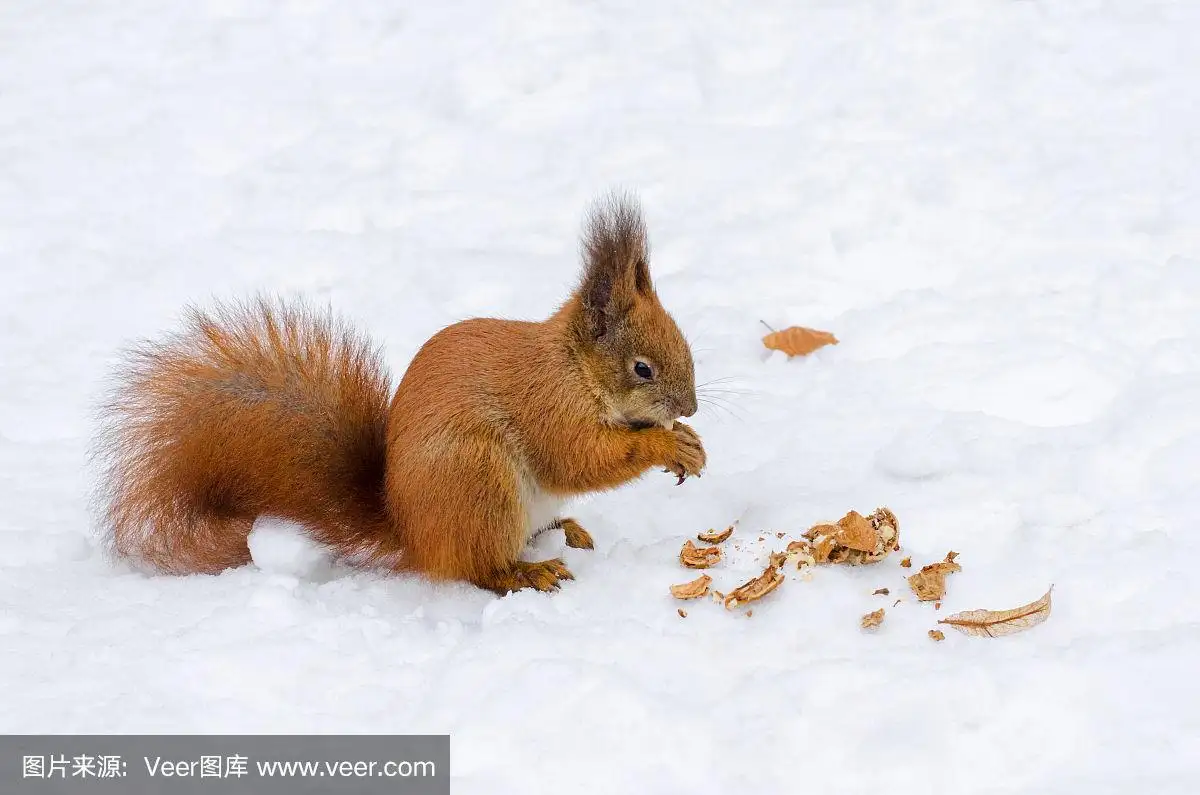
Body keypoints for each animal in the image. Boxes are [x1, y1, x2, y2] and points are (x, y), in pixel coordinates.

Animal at [100, 194, 710, 590]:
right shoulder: (549, 409)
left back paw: (569, 530)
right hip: (478, 480)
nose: (690, 407)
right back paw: (527, 570)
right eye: (642, 369)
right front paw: (666, 444)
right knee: (478, 569)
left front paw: (690, 440)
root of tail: (410, 533)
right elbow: (581, 459)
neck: (574, 370)